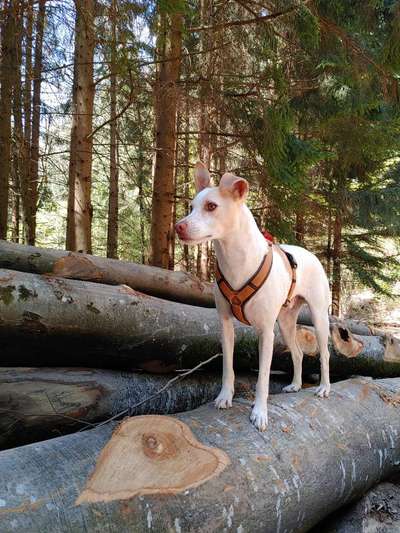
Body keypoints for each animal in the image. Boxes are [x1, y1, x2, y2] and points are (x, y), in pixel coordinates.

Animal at [175, 160, 332, 430]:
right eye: (191, 207)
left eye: (211, 206)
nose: (178, 226)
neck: (236, 260)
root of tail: (311, 255)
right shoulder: (225, 325)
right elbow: (228, 366)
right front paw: (225, 397)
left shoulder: (266, 332)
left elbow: (263, 378)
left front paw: (260, 412)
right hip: (286, 323)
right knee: (298, 352)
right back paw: (296, 385)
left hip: (319, 318)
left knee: (325, 353)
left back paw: (323, 388)